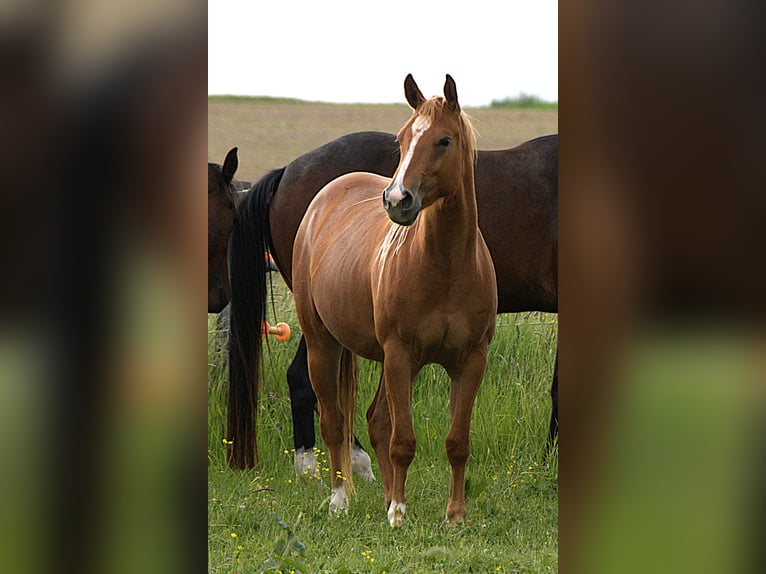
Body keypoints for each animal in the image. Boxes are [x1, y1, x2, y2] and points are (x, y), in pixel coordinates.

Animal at [292, 74, 497, 525]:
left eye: (444, 140)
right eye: (402, 140)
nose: (397, 200)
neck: (446, 267)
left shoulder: (470, 360)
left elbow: (457, 442)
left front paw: (455, 515)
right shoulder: (400, 353)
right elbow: (403, 439)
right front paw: (399, 514)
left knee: (375, 421)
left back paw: (386, 495)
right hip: (323, 345)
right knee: (335, 422)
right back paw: (341, 500)